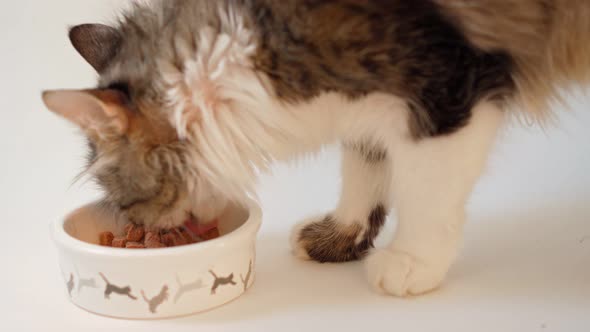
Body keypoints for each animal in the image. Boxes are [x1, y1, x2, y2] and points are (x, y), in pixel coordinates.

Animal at [42, 0, 590, 296]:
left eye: (124, 201)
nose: (139, 229)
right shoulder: (367, 103)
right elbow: (364, 170)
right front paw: (340, 238)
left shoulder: (450, 91)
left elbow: (427, 194)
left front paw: (412, 262)